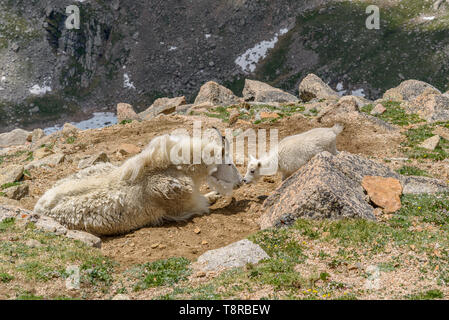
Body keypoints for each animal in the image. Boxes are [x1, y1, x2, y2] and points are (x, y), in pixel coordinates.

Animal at [33, 131, 242, 236]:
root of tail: (39, 207)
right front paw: (216, 196)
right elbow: (205, 203)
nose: (240, 182)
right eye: (229, 163)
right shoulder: (187, 205)